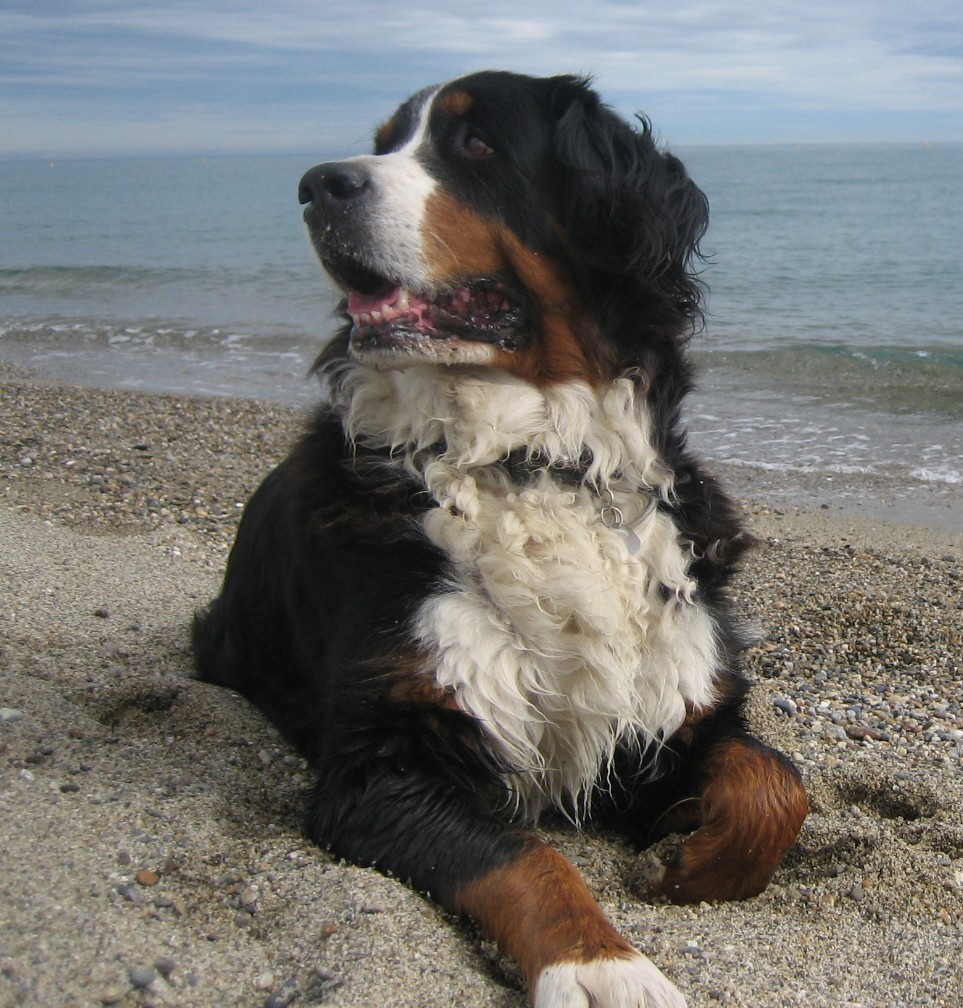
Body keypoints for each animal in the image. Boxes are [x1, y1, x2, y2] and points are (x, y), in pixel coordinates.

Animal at [191, 73, 810, 1008]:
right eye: (384, 140)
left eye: (476, 144)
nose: (318, 184)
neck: (535, 461)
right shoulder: (389, 759)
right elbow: (527, 859)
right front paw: (599, 966)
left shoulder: (670, 711)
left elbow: (774, 787)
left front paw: (687, 857)